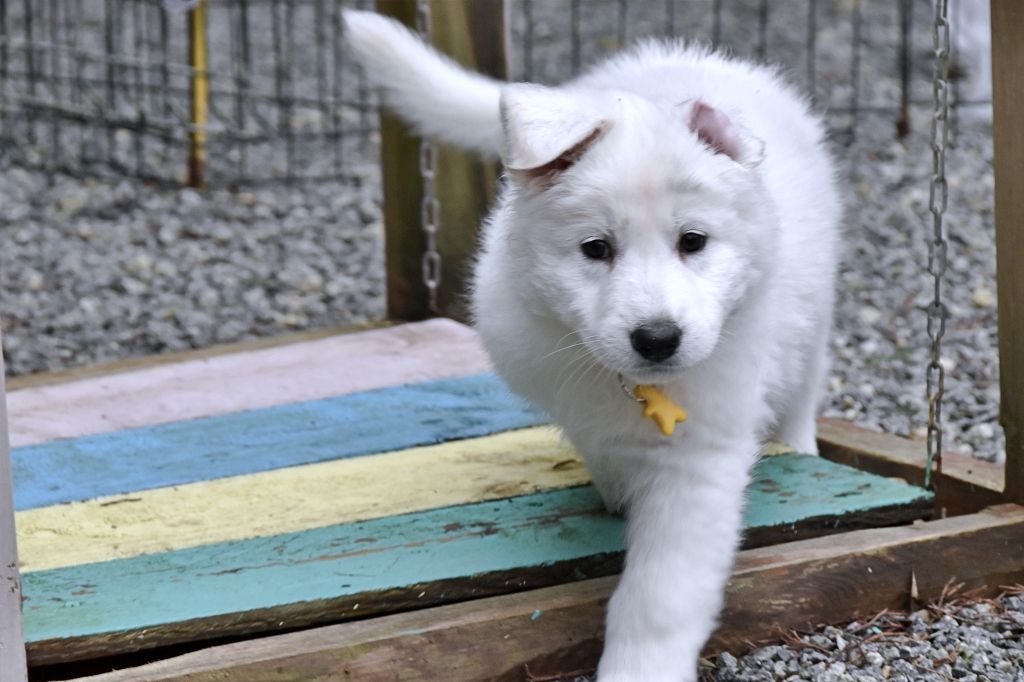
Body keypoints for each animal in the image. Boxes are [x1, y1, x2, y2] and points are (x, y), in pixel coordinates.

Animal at [343, 11, 840, 681]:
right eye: (595, 248)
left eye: (693, 241)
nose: (657, 339)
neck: (632, 386)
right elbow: (602, 449)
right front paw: (617, 490)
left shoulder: (701, 449)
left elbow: (660, 590)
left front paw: (640, 668)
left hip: (815, 307)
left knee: (804, 383)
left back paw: (798, 441)